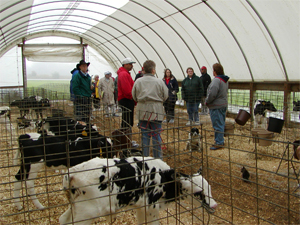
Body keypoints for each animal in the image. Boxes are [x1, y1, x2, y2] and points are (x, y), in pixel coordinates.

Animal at [59, 156, 218, 225]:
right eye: (198, 193)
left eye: (209, 188)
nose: (214, 205)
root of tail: (72, 172)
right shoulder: (152, 207)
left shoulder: (142, 207)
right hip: (87, 213)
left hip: (76, 208)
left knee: (63, 219)